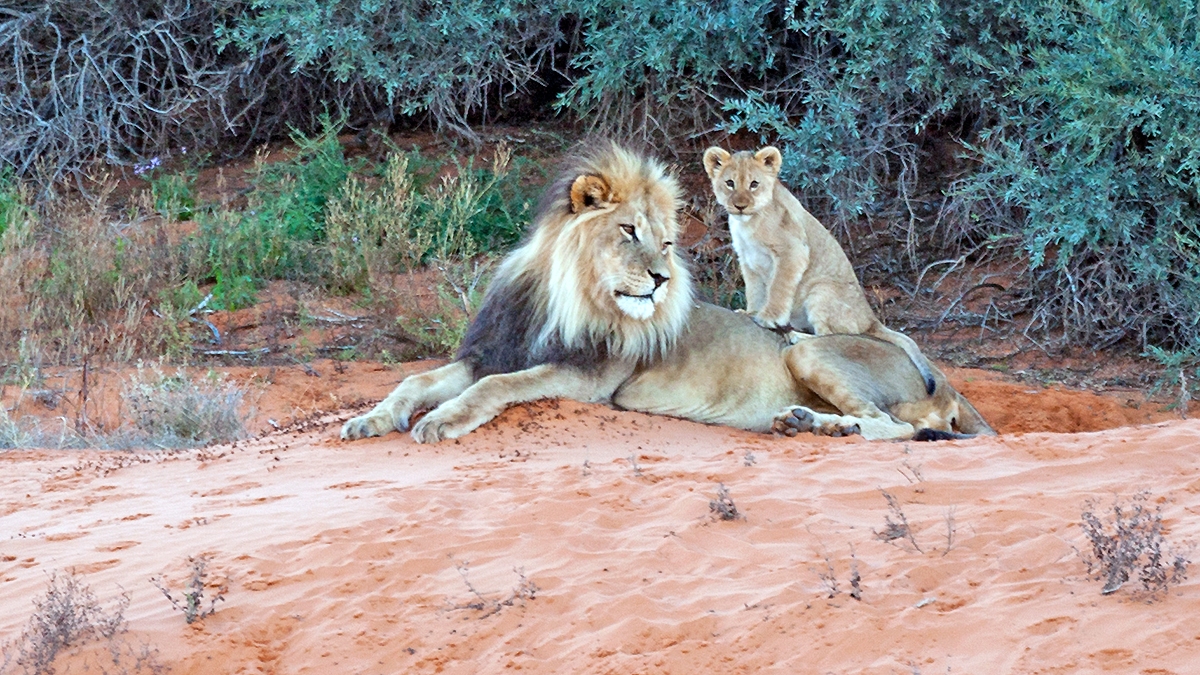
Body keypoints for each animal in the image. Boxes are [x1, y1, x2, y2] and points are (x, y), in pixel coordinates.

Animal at [703, 145, 938, 395]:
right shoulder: (748, 260)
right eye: (730, 183)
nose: (740, 206)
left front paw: (768, 318)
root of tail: (872, 318)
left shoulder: (793, 250)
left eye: (754, 184)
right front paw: (750, 312)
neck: (747, 223)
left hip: (822, 289)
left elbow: (778, 288)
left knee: (830, 336)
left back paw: (795, 335)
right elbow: (755, 291)